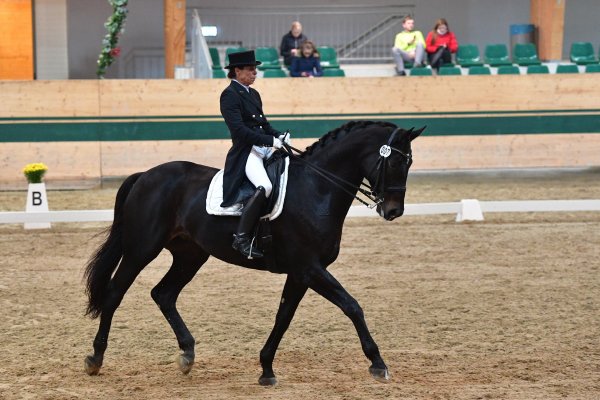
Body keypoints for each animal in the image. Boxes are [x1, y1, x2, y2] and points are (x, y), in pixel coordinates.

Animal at [83, 121, 422, 384]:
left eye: (409, 163)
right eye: (395, 163)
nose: (394, 211)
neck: (317, 189)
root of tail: (145, 175)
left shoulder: (301, 273)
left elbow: (283, 317)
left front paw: (266, 369)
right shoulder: (309, 267)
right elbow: (352, 306)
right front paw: (378, 364)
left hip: (190, 254)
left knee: (163, 294)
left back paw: (187, 354)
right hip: (141, 249)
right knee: (115, 293)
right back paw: (95, 359)